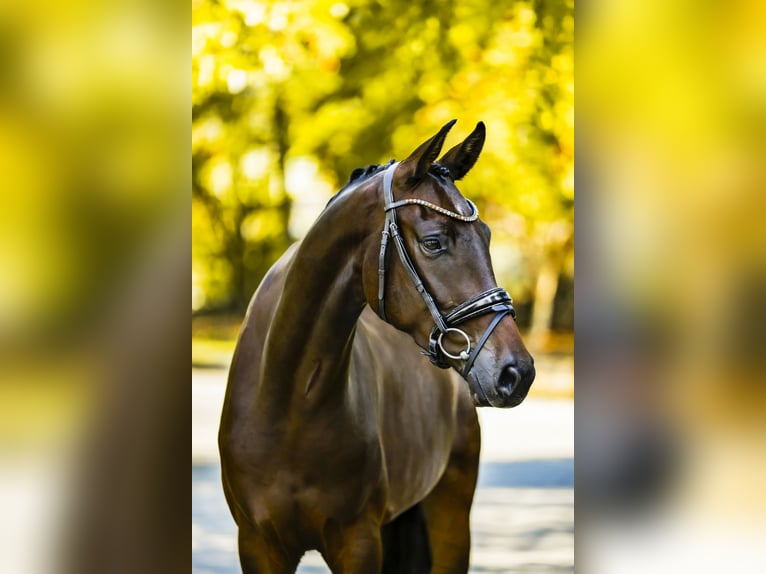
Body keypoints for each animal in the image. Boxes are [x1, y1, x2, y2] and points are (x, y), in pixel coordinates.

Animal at [219, 119, 536, 572]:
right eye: (434, 242)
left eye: (487, 235)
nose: (517, 372)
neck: (290, 400)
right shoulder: (258, 544)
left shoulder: (358, 541)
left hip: (451, 517)